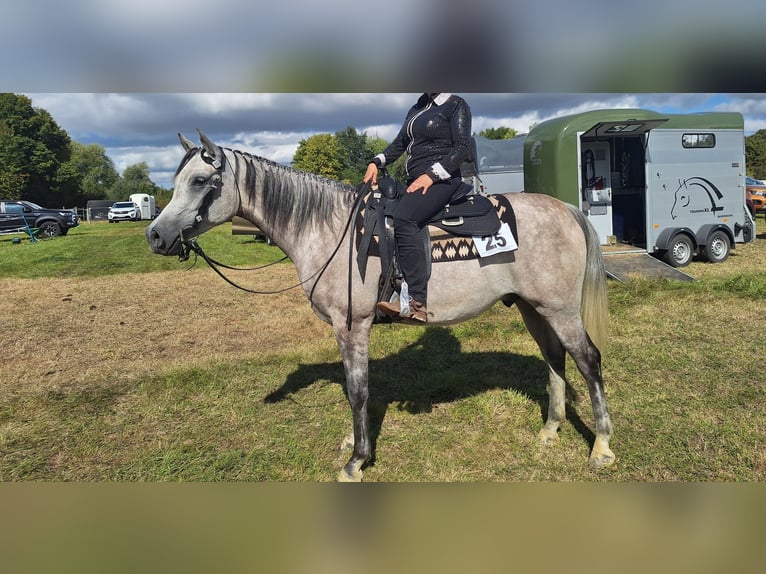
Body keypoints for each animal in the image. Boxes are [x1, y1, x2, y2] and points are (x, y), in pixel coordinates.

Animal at [146, 130, 615, 481]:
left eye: (200, 181)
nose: (155, 235)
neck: (329, 230)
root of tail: (566, 209)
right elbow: (356, 389)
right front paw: (353, 444)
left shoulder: (352, 325)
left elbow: (358, 390)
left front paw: (356, 460)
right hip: (532, 307)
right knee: (555, 358)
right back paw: (550, 429)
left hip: (560, 309)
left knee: (588, 359)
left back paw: (602, 446)